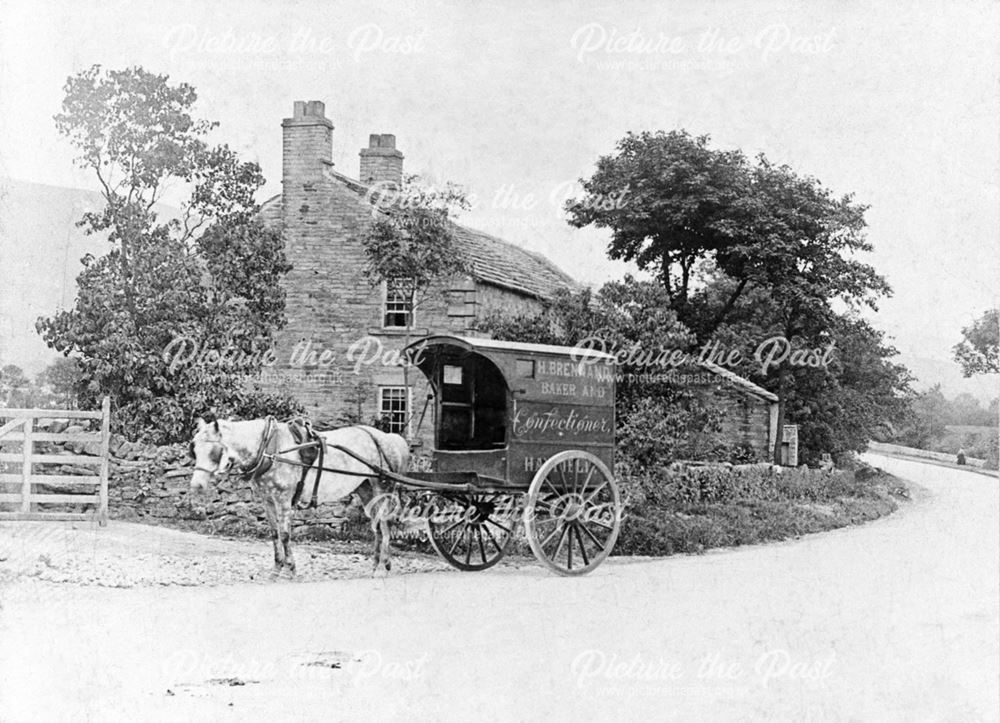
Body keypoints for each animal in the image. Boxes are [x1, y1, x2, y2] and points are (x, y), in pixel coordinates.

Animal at [189, 418, 408, 576]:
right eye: (194, 450)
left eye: (213, 451)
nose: (196, 485)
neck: (270, 449)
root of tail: (389, 437)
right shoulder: (268, 501)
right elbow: (274, 534)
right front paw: (277, 568)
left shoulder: (284, 500)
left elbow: (285, 534)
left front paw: (290, 569)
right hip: (365, 489)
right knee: (378, 527)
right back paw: (378, 564)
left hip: (382, 488)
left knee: (384, 525)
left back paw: (382, 567)